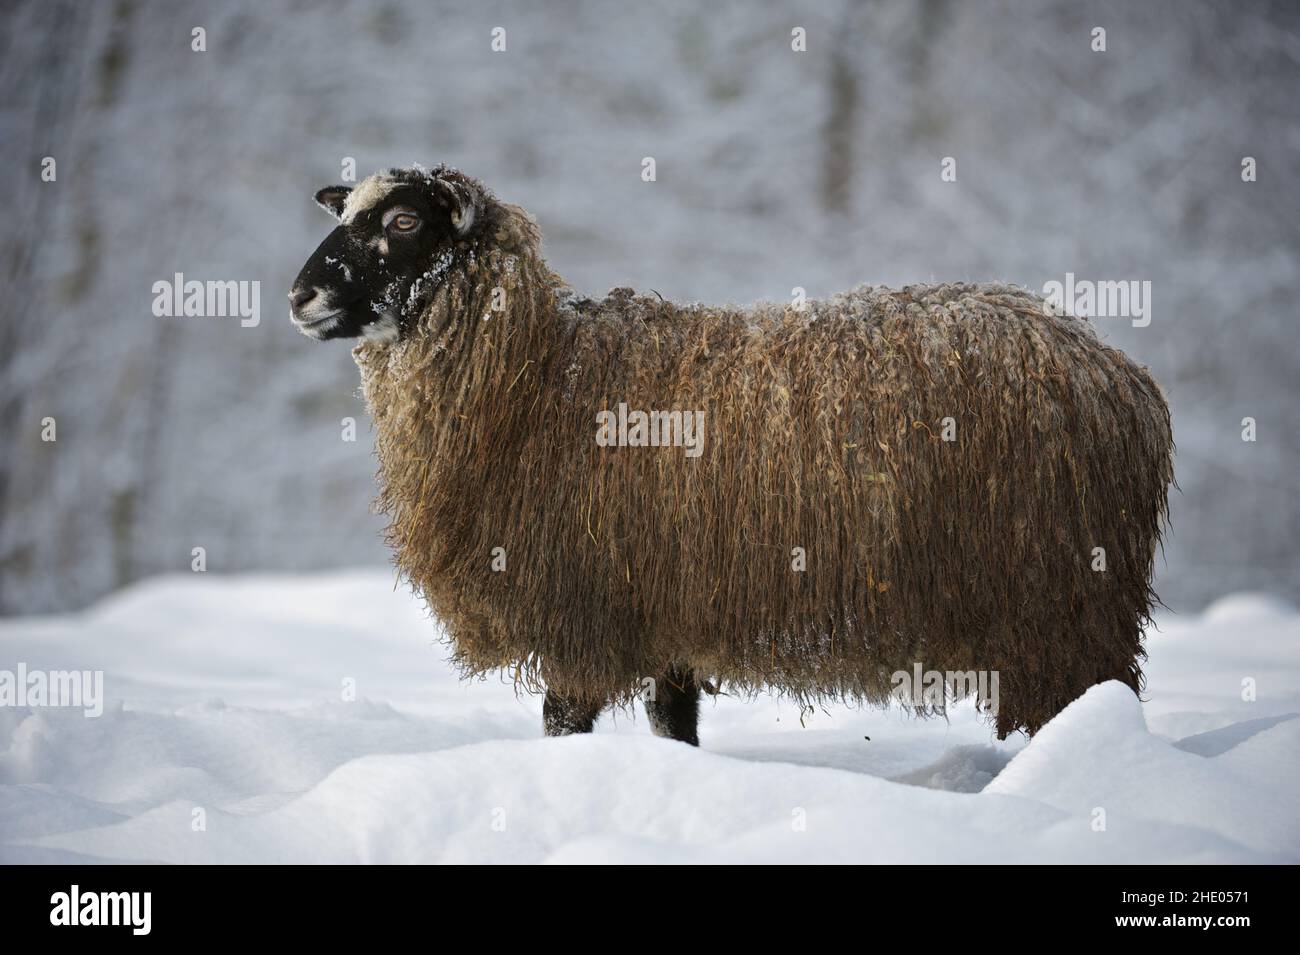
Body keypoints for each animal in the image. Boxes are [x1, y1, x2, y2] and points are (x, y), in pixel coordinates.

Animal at [292, 167, 1180, 743]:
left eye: (405, 222)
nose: (300, 295)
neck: (539, 376)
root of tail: (1118, 374)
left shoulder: (584, 616)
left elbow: (564, 726)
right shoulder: (668, 620)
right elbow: (673, 729)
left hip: (1059, 605)